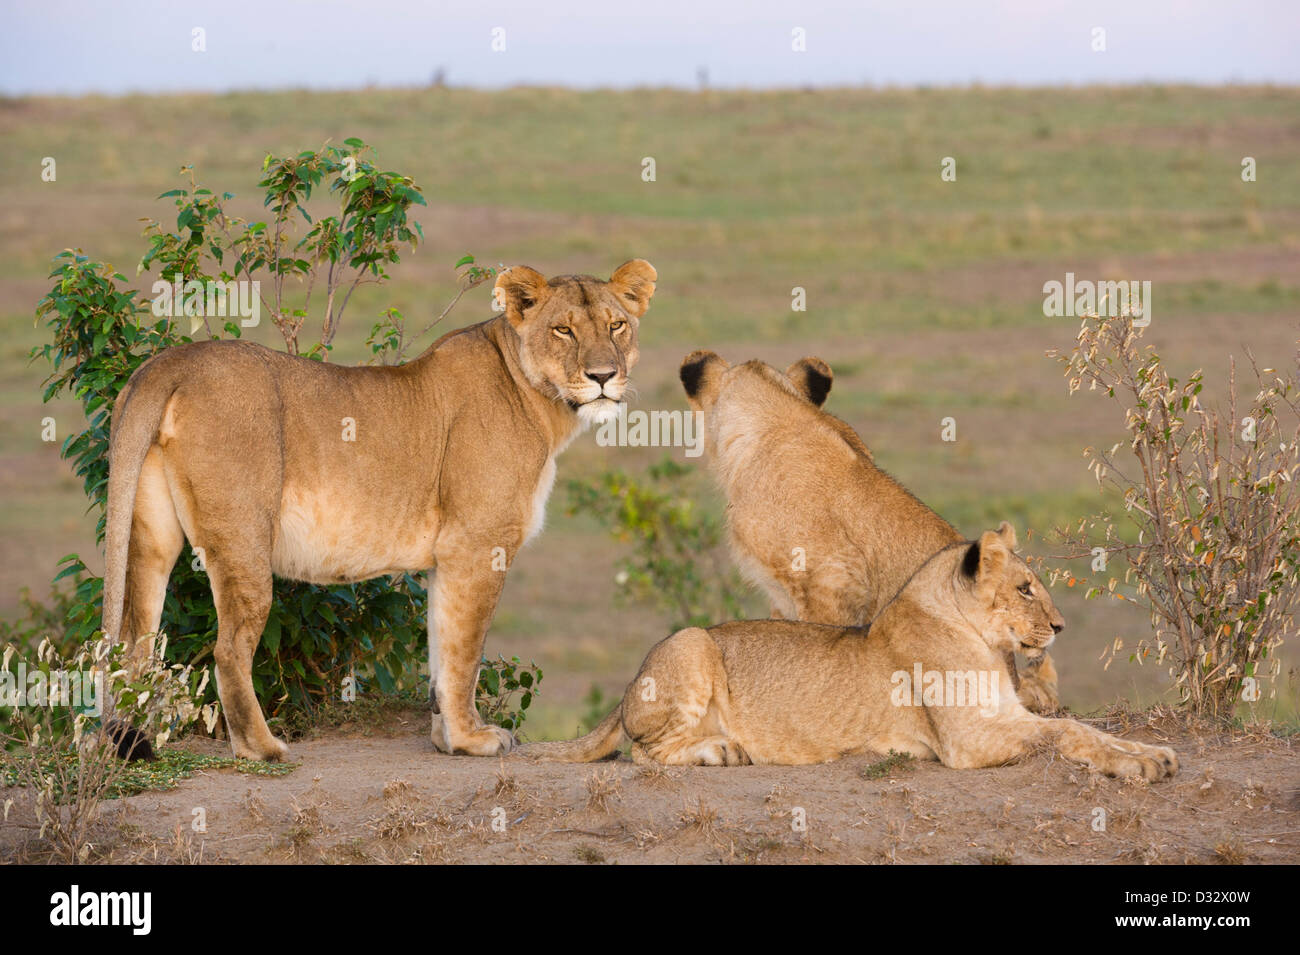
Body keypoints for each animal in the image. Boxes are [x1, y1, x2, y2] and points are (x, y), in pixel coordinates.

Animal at [101, 259, 657, 761]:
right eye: (564, 329)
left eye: (617, 325)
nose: (603, 376)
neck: (542, 403)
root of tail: (172, 361)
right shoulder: (477, 546)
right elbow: (465, 654)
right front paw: (472, 740)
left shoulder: (446, 561)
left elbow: (441, 654)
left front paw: (446, 739)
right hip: (243, 538)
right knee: (229, 648)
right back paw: (261, 748)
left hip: (153, 534)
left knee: (135, 641)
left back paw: (133, 741)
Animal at [522, 522, 1177, 780]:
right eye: (1024, 588)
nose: (1062, 625)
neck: (987, 646)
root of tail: (631, 683)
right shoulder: (968, 741)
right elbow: (1064, 733)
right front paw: (1141, 765)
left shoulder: (1006, 716)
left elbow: (1085, 728)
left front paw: (1155, 753)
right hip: (691, 641)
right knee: (643, 753)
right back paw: (722, 751)